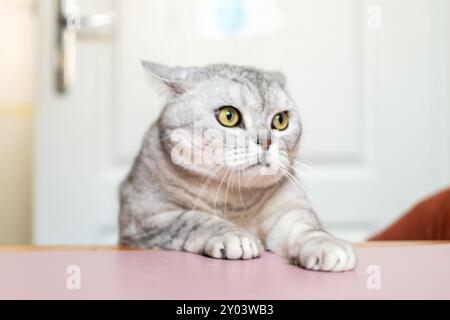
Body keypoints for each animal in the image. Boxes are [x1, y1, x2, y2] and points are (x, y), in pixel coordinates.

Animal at [118, 61, 356, 272]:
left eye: (280, 120)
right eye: (229, 116)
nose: (266, 141)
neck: (237, 201)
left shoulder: (290, 210)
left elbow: (309, 229)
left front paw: (328, 245)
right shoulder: (145, 216)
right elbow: (193, 219)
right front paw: (233, 236)